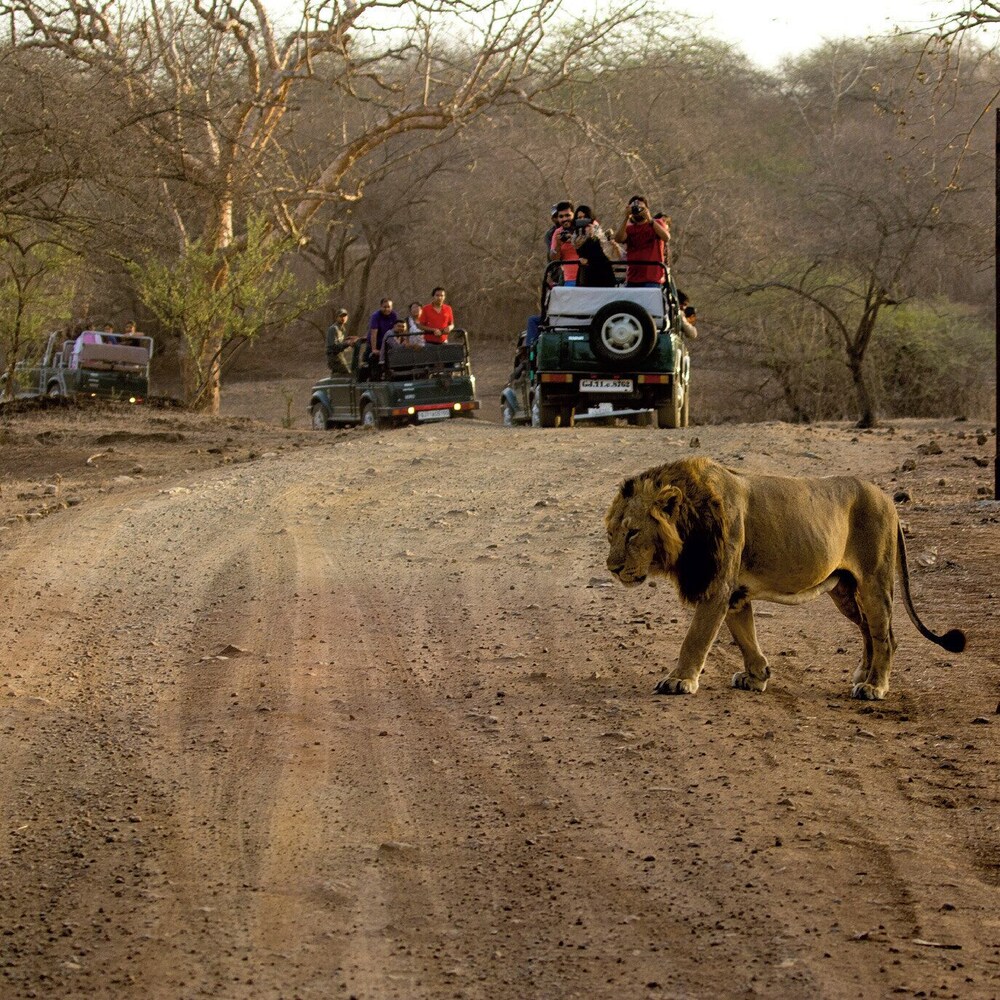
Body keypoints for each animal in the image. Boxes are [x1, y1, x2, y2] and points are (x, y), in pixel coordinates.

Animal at [604, 457, 965, 700]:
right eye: (610, 534)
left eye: (633, 533)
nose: (612, 568)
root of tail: (888, 499)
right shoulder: (735, 594)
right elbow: (745, 636)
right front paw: (758, 675)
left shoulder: (717, 587)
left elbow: (695, 638)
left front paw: (679, 680)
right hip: (845, 589)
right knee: (868, 629)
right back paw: (864, 673)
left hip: (875, 581)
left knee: (885, 635)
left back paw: (874, 686)